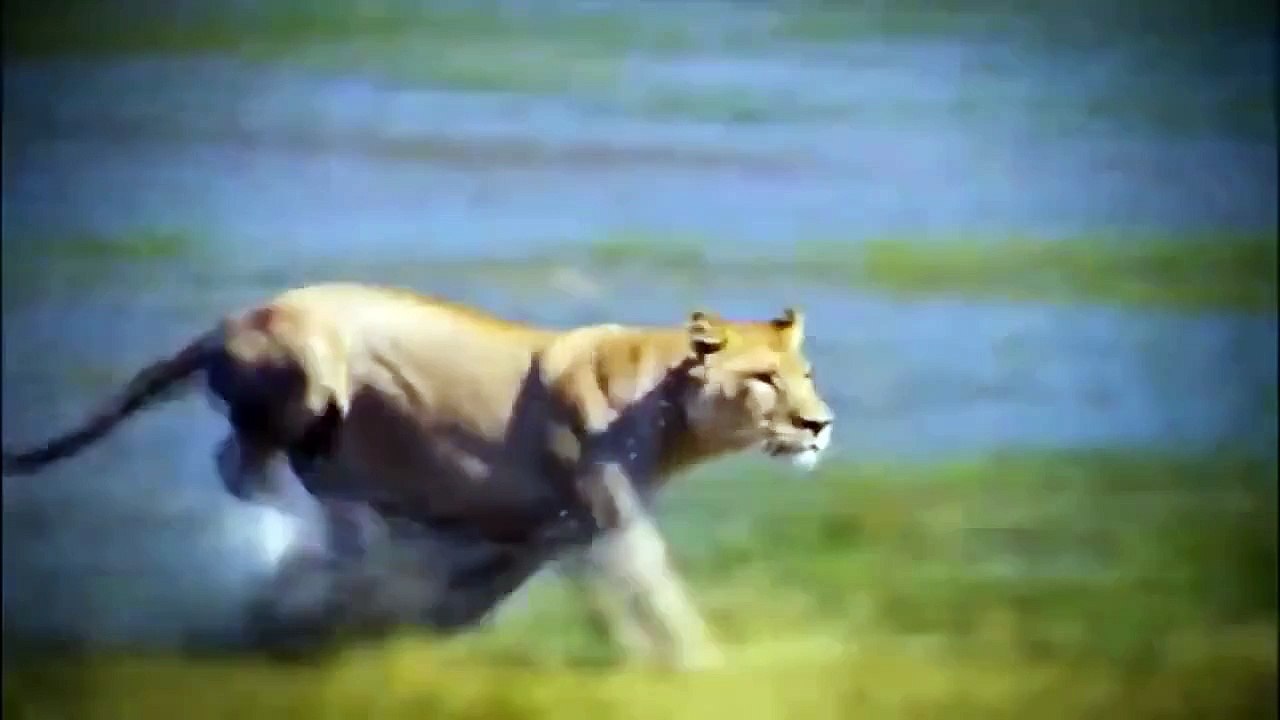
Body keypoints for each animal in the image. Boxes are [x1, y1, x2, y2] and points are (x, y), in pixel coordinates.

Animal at [2, 282, 835, 669]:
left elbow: (501, 594)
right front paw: (704, 666)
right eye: (764, 379)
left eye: (805, 376)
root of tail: (230, 321)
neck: (666, 402)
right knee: (242, 463)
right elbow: (656, 584)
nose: (818, 424)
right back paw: (301, 526)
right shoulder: (609, 515)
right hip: (310, 370)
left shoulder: (554, 531)